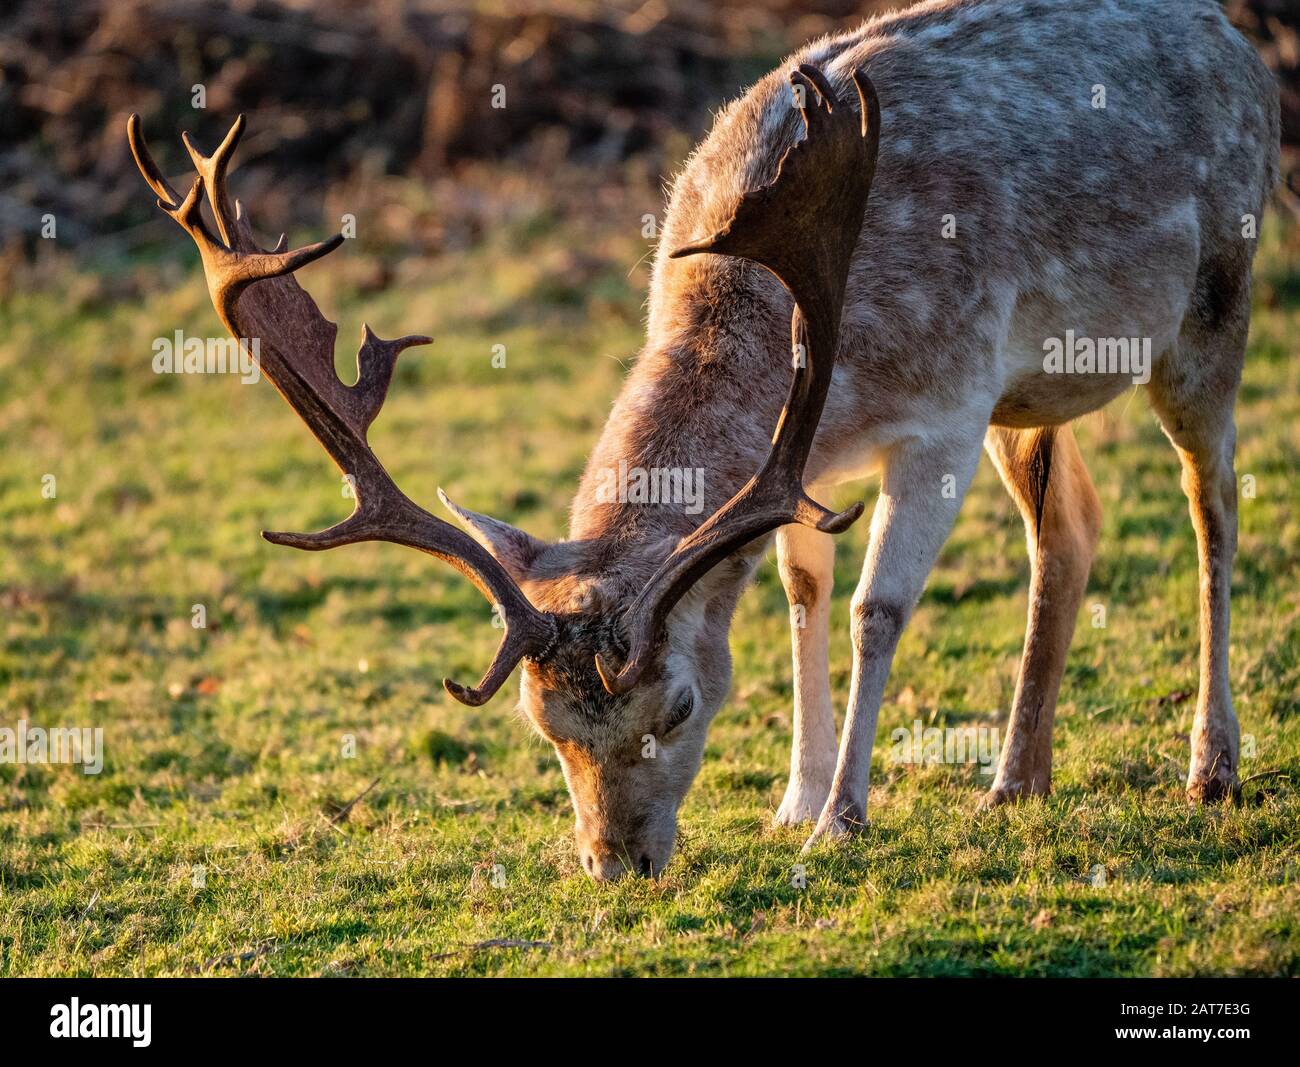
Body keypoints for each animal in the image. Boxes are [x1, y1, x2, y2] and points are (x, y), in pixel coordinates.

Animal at [128, 0, 1280, 881]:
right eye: (545, 726)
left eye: (678, 708)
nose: (616, 864)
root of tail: (1246, 49)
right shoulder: (817, 454)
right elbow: (801, 592)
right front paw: (795, 797)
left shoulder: (947, 405)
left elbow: (873, 609)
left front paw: (841, 819)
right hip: (1030, 397)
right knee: (1072, 526)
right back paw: (1015, 779)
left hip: (1213, 298)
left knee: (1214, 502)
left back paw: (1212, 766)